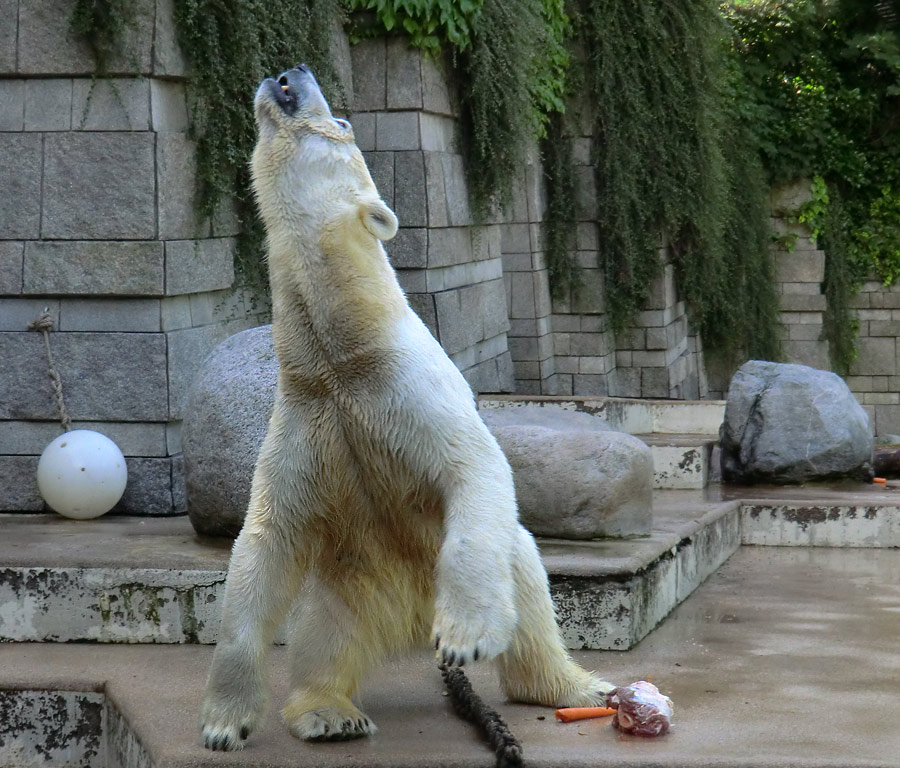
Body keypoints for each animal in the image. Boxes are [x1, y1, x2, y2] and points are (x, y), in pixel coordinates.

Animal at [200, 64, 616, 752]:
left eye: (341, 122)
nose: (290, 72)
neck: (340, 357)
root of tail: (409, 621)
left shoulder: (404, 391)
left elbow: (474, 468)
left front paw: (468, 636)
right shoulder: (306, 417)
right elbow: (265, 542)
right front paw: (223, 723)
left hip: (490, 566)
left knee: (527, 580)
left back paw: (578, 686)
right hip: (348, 589)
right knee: (319, 639)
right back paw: (328, 713)